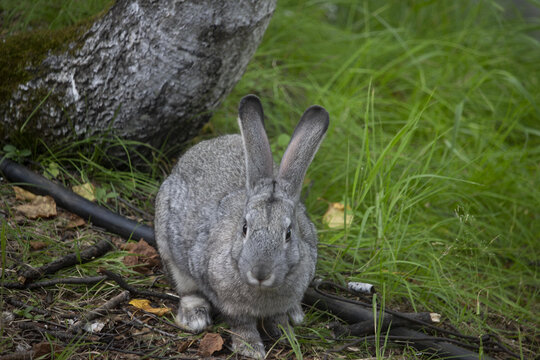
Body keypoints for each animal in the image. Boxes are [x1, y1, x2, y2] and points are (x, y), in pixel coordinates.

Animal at [154, 94, 326, 358]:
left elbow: (279, 319)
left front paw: (288, 337)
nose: (260, 273)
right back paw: (195, 317)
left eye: (288, 234)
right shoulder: (230, 304)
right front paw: (251, 349)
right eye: (244, 228)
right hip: (168, 246)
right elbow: (241, 324)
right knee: (186, 288)